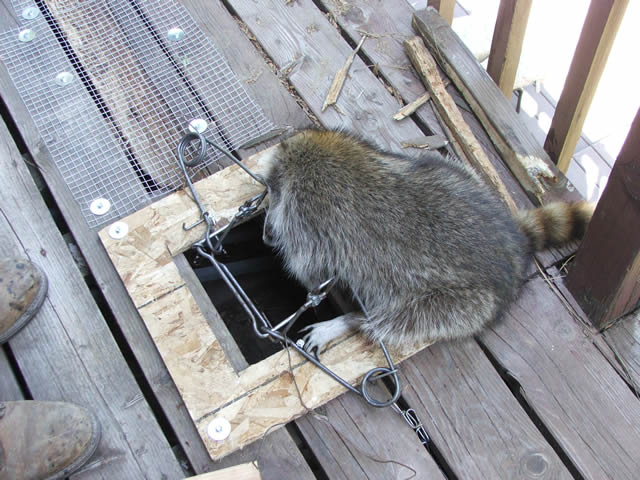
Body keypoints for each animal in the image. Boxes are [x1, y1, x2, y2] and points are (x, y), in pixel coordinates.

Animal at [262, 129, 596, 350]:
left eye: (272, 191)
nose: (265, 233)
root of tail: (513, 247)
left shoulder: (307, 218)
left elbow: (308, 268)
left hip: (465, 303)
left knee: (398, 320)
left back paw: (351, 321)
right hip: (458, 176)